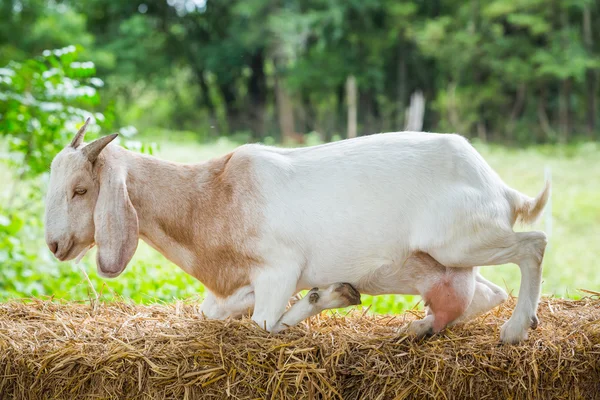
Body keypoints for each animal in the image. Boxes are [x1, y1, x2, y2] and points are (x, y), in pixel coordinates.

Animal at [43, 119, 548, 344]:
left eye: (81, 189)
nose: (55, 245)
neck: (213, 197)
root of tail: (498, 186)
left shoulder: (279, 269)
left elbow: (266, 325)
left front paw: (330, 294)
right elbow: (216, 312)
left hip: (460, 240)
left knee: (533, 246)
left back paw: (516, 329)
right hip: (439, 264)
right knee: (483, 294)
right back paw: (420, 326)